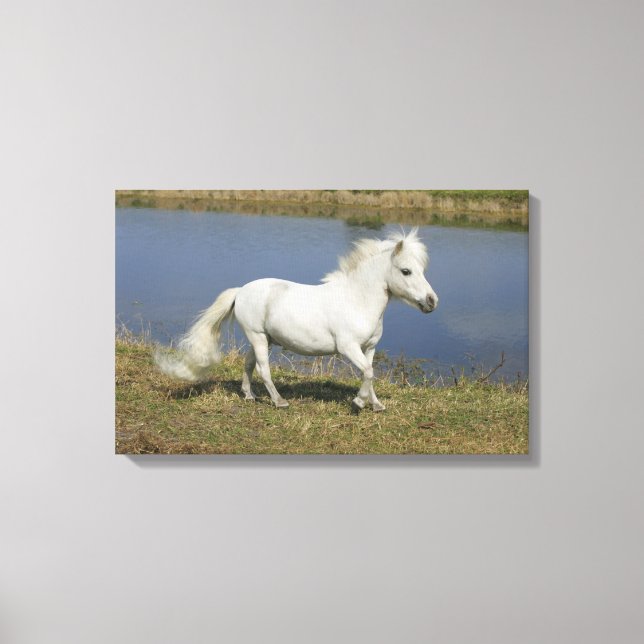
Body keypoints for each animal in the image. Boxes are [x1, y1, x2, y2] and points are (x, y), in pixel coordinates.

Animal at [155, 228, 438, 412]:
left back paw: (249, 396)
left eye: (422, 270)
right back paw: (279, 401)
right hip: (258, 337)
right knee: (263, 369)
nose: (432, 301)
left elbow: (370, 374)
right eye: (406, 271)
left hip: (263, 338)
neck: (356, 300)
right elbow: (368, 373)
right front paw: (358, 403)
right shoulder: (348, 347)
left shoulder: (369, 348)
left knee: (249, 365)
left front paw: (376, 404)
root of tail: (241, 291)